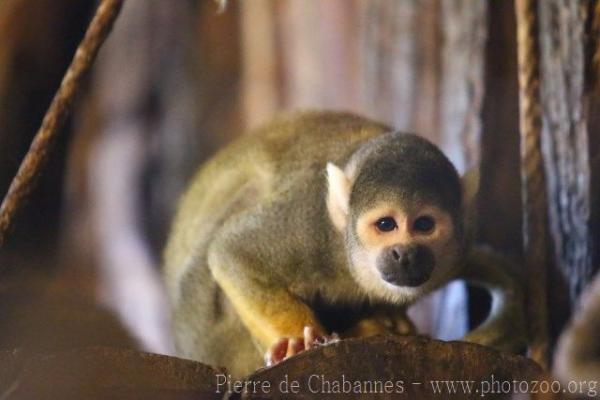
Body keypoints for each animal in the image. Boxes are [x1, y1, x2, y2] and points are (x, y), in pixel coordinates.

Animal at [163, 110, 524, 378]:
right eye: (386, 225)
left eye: (424, 225)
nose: (404, 254)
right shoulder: (310, 225)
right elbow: (233, 252)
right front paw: (297, 341)